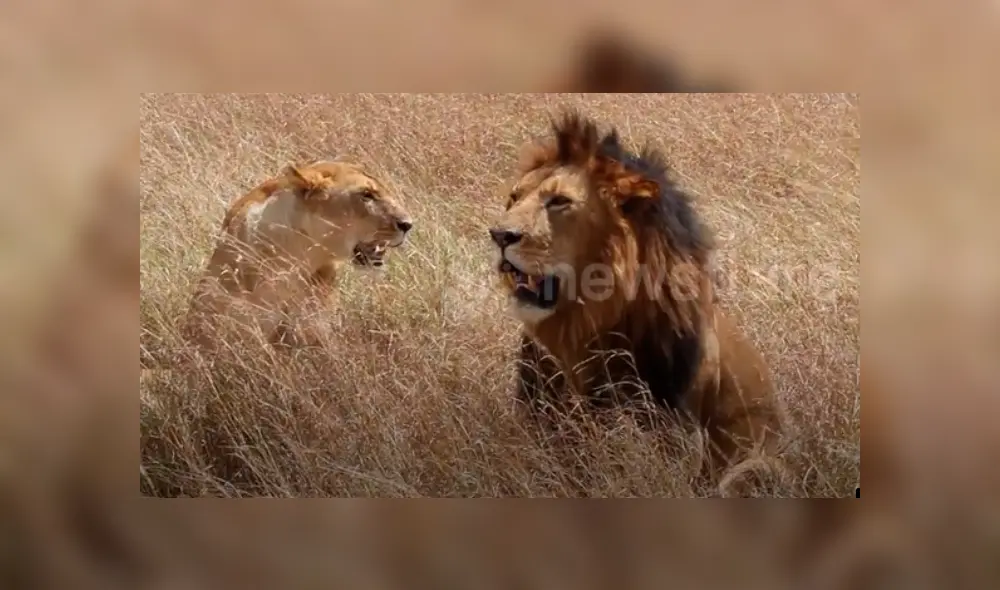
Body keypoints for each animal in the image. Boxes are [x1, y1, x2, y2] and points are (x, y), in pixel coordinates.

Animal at [488, 110, 789, 495]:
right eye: (514, 198)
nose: (498, 235)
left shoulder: (678, 437)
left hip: (759, 467)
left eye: (559, 202)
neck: (585, 326)